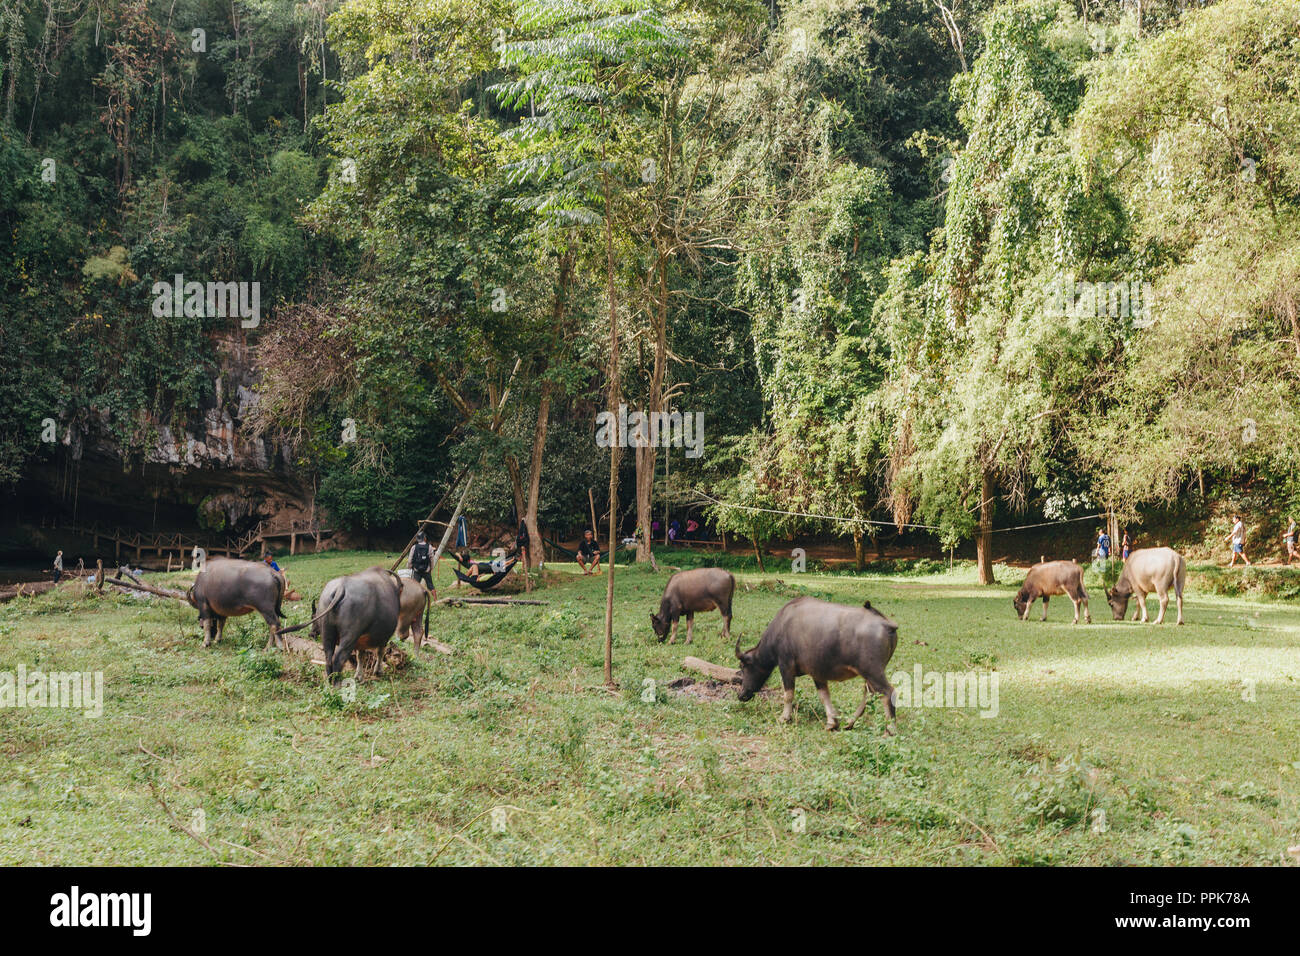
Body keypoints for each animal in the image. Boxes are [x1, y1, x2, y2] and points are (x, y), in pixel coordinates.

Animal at [738, 598, 899, 733]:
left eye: (743, 667)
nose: (741, 695)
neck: (782, 626)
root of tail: (887, 625)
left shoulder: (786, 665)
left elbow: (788, 694)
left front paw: (784, 717)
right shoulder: (817, 672)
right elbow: (824, 695)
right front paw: (832, 722)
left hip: (872, 671)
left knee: (887, 692)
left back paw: (890, 729)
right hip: (870, 673)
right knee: (870, 693)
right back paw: (849, 723)